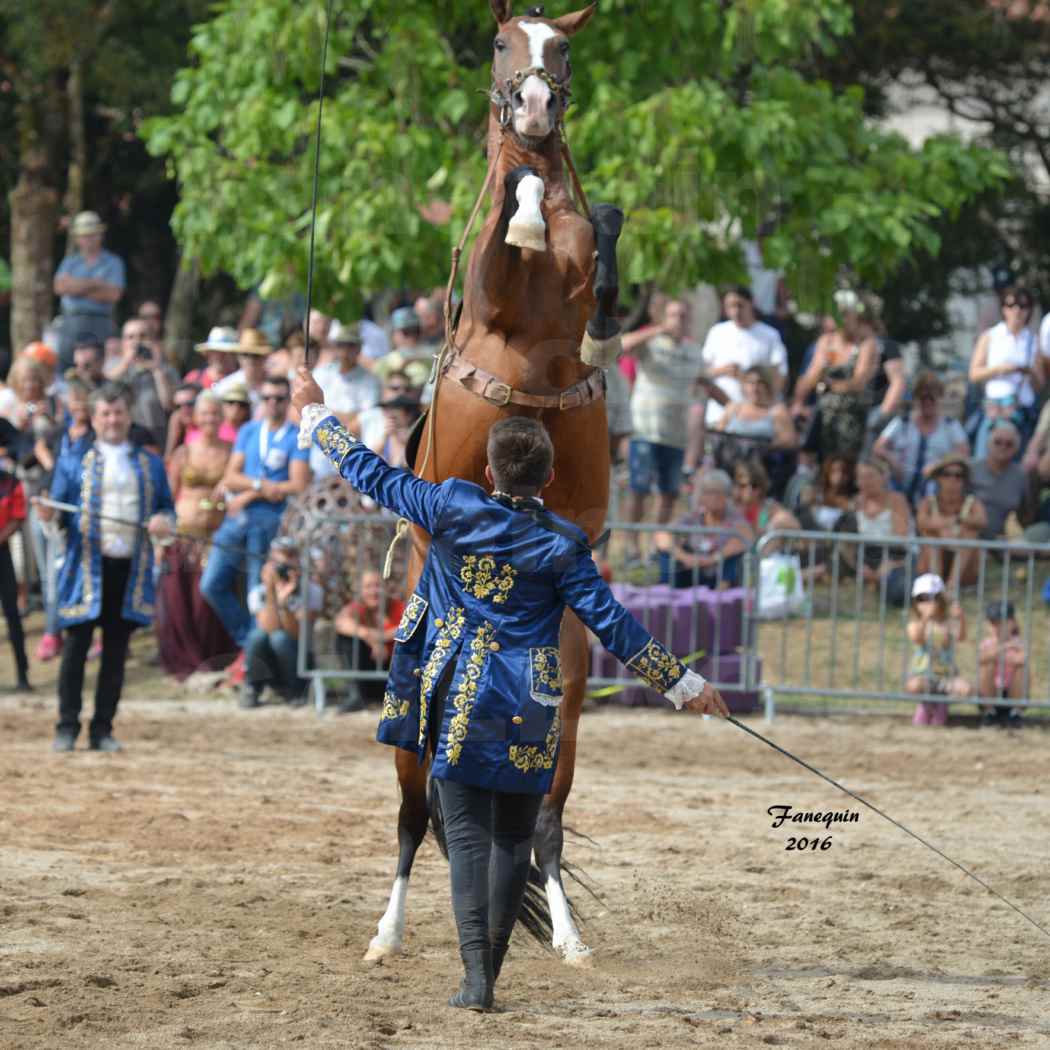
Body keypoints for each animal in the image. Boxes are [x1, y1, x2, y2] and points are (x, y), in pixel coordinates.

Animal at [365, 0, 617, 965]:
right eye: (505, 42)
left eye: (565, 48)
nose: (538, 104)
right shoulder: (493, 292)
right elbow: (517, 219)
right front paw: (526, 210)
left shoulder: (579, 282)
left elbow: (596, 243)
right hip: (410, 732)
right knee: (410, 818)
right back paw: (386, 934)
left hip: (565, 727)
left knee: (542, 823)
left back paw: (569, 937)